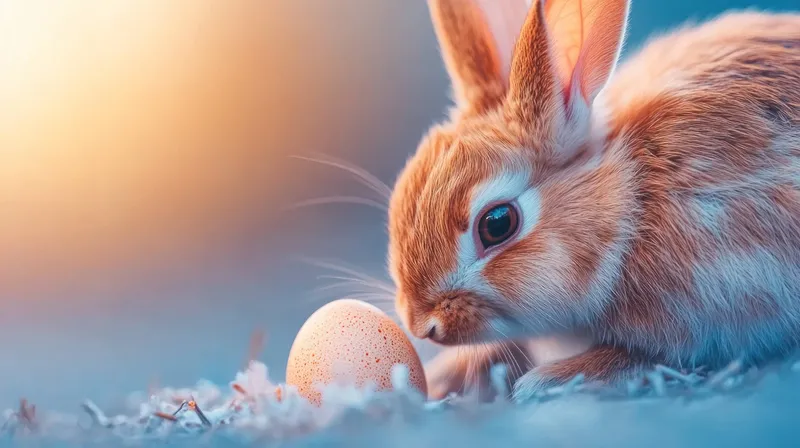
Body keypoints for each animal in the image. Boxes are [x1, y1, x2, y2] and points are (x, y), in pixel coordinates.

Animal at [387, 0, 800, 402]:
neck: (627, 205)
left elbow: (651, 358)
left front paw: (548, 379)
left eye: (498, 223)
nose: (420, 325)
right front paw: (442, 376)